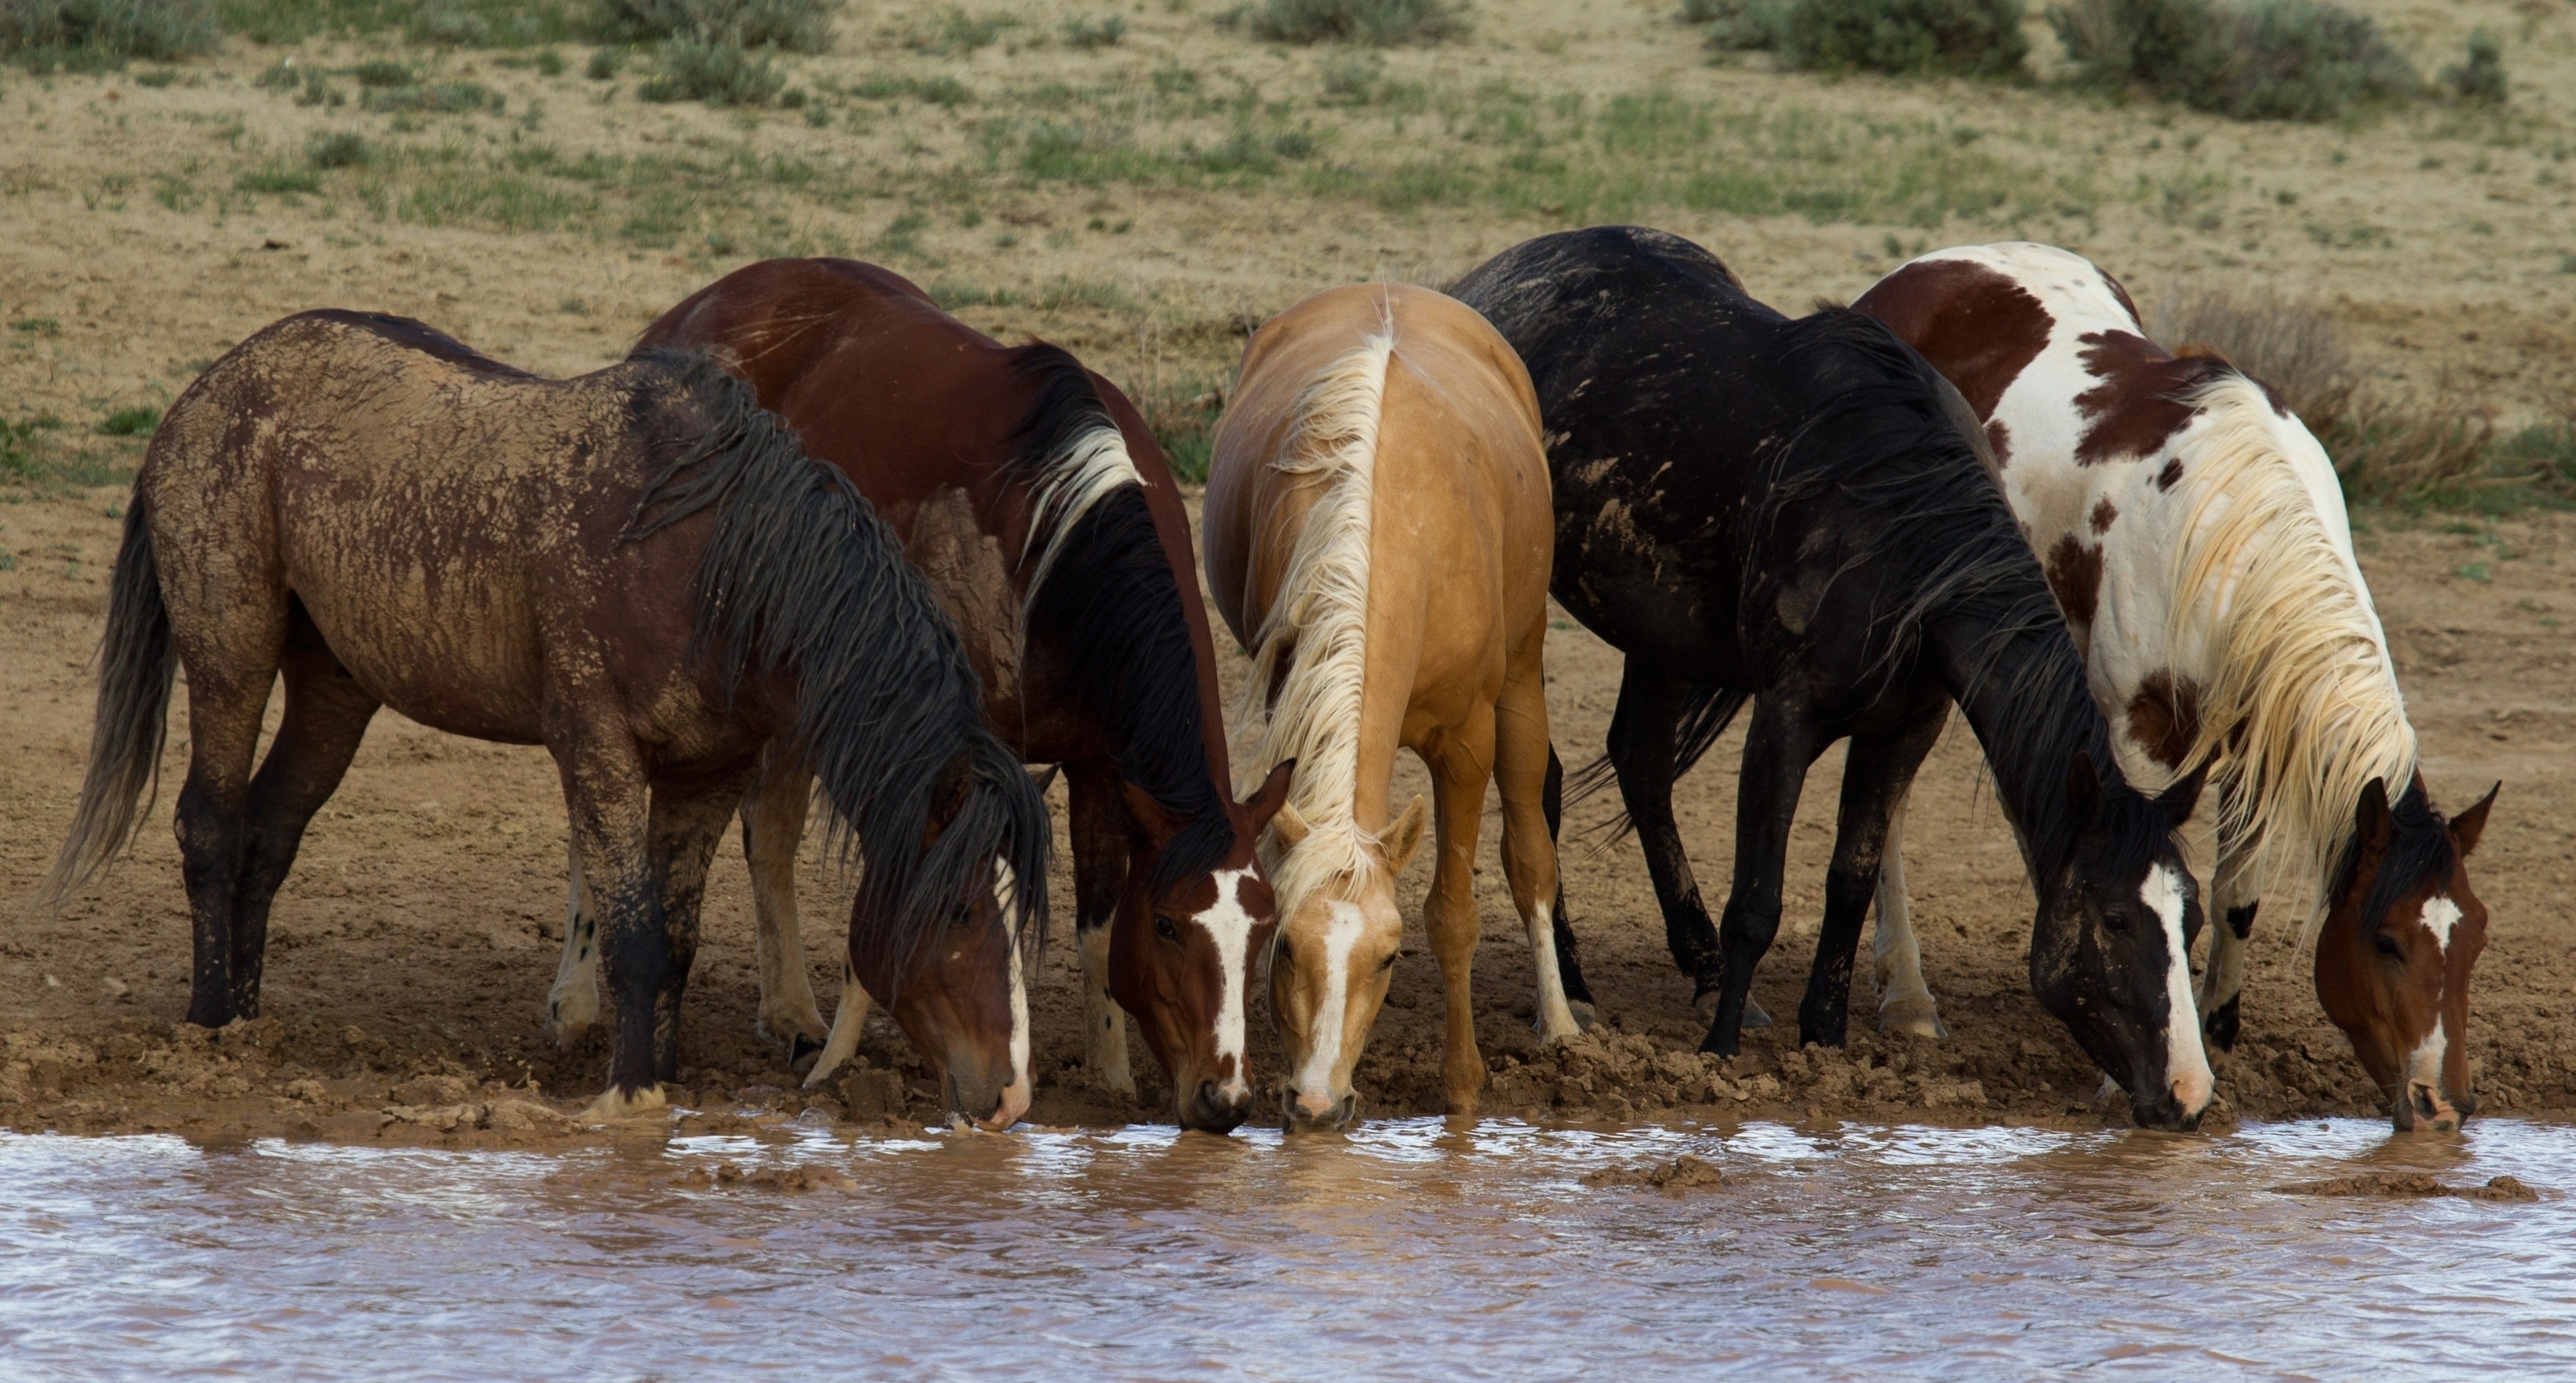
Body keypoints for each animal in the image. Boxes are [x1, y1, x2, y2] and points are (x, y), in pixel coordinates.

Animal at [17, 310, 1046, 1122]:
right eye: (958, 907)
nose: (1007, 1095)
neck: (709, 560)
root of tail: (206, 389)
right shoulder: (597, 748)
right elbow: (632, 935)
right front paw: (630, 1097)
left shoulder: (706, 774)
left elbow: (673, 940)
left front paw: (661, 1077)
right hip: (231, 650)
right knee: (212, 825)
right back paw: (209, 1023)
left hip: (337, 683)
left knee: (270, 831)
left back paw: (250, 1017)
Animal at [602, 258, 1288, 1133]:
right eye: (1168, 924)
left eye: (1264, 927)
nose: (1224, 1098)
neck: (1053, 547)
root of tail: (689, 314)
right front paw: (839, 1068)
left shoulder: (1102, 766)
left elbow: (1097, 928)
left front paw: (1109, 1076)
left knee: (772, 830)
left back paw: (790, 1014)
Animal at [1205, 283, 1587, 1133]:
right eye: (1287, 949)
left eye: (1385, 959)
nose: (1316, 1102)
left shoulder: (1467, 742)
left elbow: (1453, 913)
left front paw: (1463, 1086)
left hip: (1523, 678)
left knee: (1530, 855)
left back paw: (1559, 1023)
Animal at [1452, 229, 2215, 1133]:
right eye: (2114, 917)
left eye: (2191, 916)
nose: (2189, 1094)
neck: (1895, 538)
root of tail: (1483, 282)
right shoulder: (1786, 718)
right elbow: (1758, 898)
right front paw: (1720, 1048)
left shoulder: (1905, 728)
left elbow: (1850, 878)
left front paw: (1824, 1032)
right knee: (1543, 781)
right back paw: (1575, 986)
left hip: (1660, 633)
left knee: (1640, 765)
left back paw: (1698, 964)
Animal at [1855, 242, 2493, 1128]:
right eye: (2386, 939)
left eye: (2474, 937)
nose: (2442, 1104)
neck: (2227, 539)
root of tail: (1921, 272)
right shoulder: (2138, 732)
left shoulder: (2255, 743)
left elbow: (2234, 897)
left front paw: (2213, 1028)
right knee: (1889, 804)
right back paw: (1908, 999)